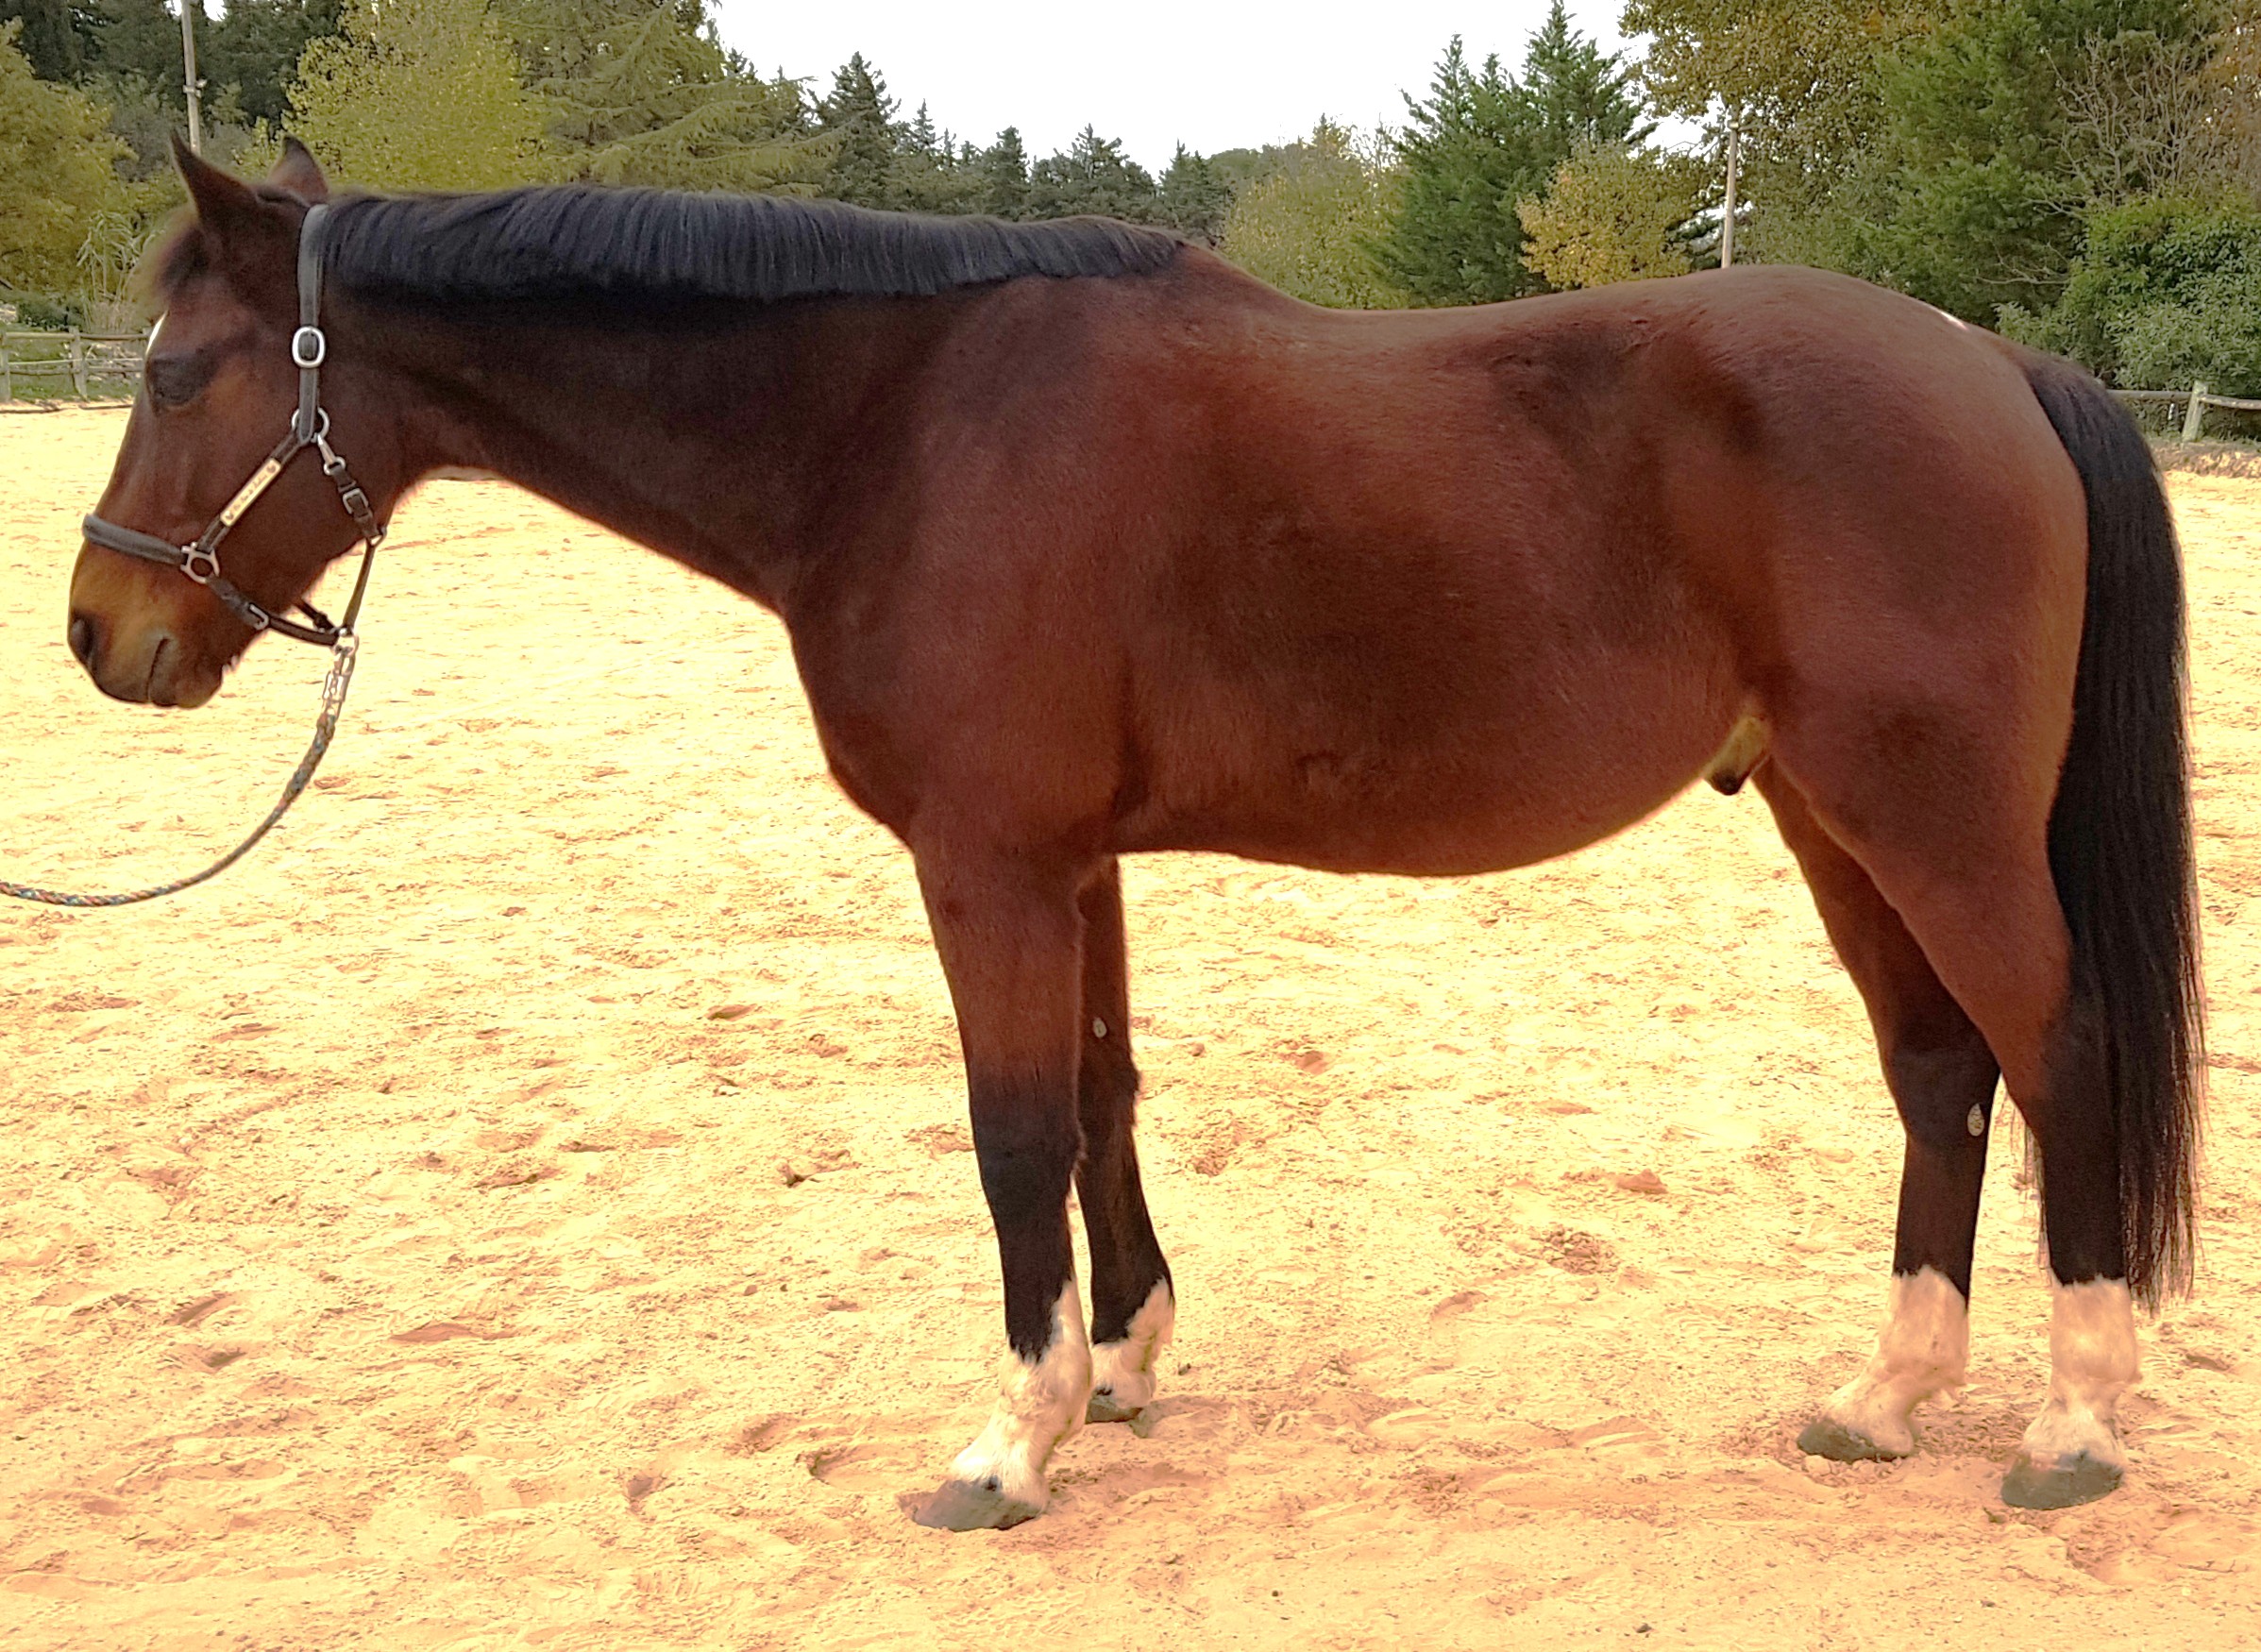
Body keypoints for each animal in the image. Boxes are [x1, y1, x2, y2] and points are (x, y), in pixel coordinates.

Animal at [63, 138, 2201, 1530]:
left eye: (176, 368)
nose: (101, 634)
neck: (900, 426)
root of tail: (1997, 362)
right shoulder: (1070, 860)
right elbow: (1100, 1095)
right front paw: (1124, 1364)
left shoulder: (986, 859)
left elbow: (1011, 1126)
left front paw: (1013, 1444)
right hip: (1836, 820)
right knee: (1939, 1072)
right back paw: (1884, 1398)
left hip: (1929, 821)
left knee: (2056, 1048)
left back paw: (2077, 1427)